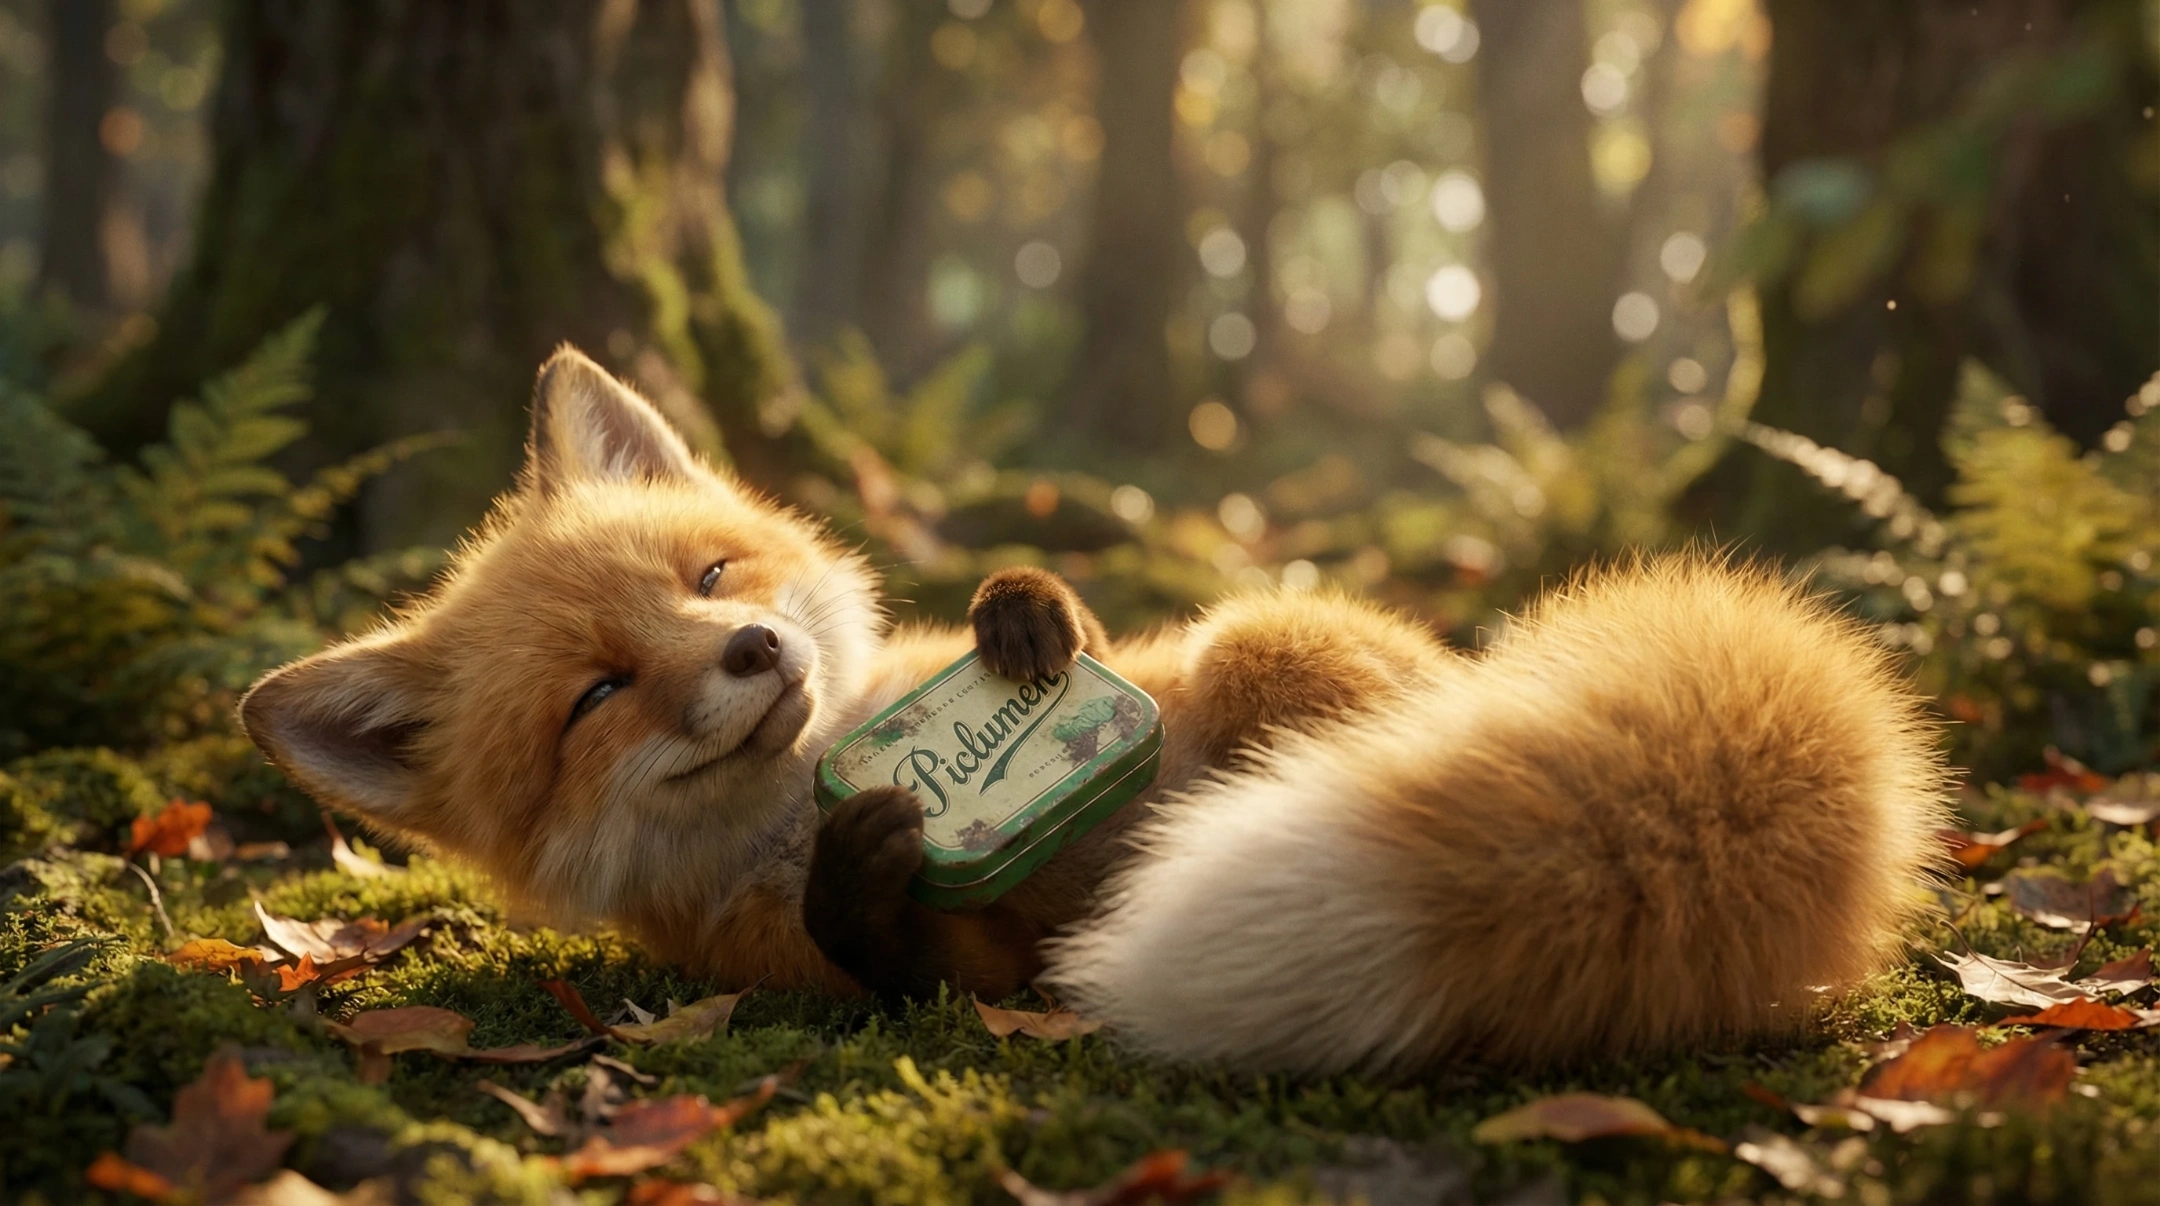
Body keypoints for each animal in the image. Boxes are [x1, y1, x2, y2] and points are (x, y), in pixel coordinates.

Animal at [240, 346, 1951, 1073]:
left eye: (711, 569)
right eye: (595, 695)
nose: (752, 653)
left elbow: (1071, 632)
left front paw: (1025, 607)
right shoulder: (870, 966)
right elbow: (906, 956)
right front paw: (871, 865)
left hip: (1271, 634)